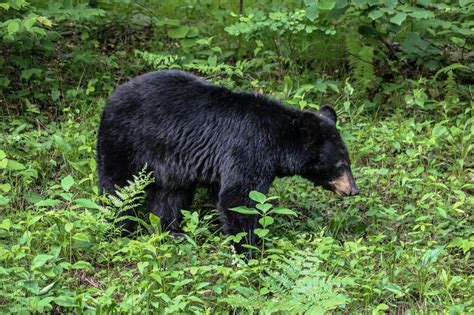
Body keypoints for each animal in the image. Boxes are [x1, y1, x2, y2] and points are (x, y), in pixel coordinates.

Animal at [96, 71, 358, 247]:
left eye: (348, 161)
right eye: (341, 164)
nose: (353, 190)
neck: (279, 140)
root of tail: (111, 97)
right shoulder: (249, 148)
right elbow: (239, 197)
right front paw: (250, 249)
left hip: (170, 163)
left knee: (170, 195)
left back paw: (172, 231)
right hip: (125, 141)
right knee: (117, 187)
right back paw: (119, 229)